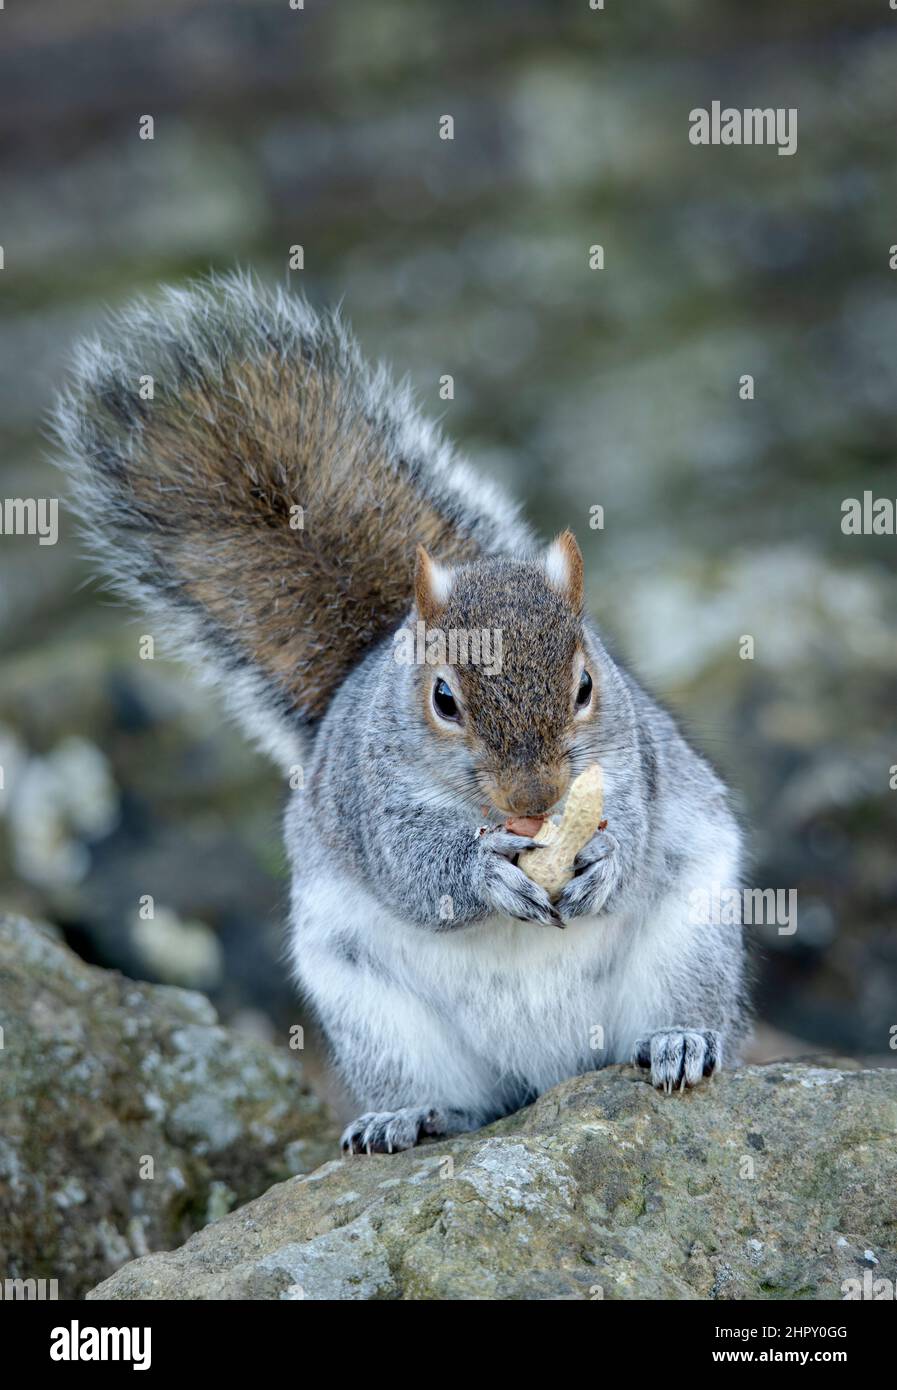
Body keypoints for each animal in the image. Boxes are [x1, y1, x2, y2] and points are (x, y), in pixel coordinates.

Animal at [52, 271, 745, 1150]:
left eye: (586, 685)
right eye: (443, 699)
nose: (532, 804)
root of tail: (552, 1075)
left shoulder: (637, 767)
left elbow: (636, 826)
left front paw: (602, 858)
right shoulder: (369, 801)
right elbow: (413, 869)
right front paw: (483, 872)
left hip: (689, 940)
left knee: (678, 1012)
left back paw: (680, 1040)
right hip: (373, 1011)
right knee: (451, 1098)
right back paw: (404, 1118)